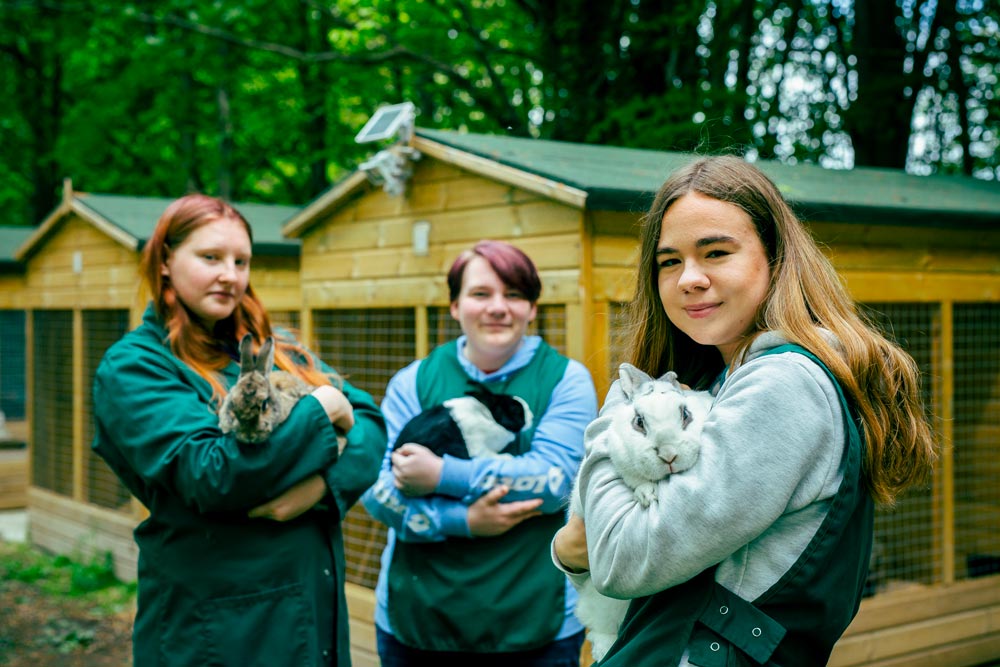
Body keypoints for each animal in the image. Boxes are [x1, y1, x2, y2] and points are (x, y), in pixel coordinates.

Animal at [392, 384, 536, 462]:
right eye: (515, 409)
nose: (532, 416)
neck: (489, 418)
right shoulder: (477, 445)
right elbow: (487, 454)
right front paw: (507, 457)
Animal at [572, 366, 712, 664]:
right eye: (639, 422)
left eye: (685, 414)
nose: (669, 455)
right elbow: (633, 477)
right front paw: (648, 494)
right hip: (602, 606)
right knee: (598, 627)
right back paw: (603, 649)